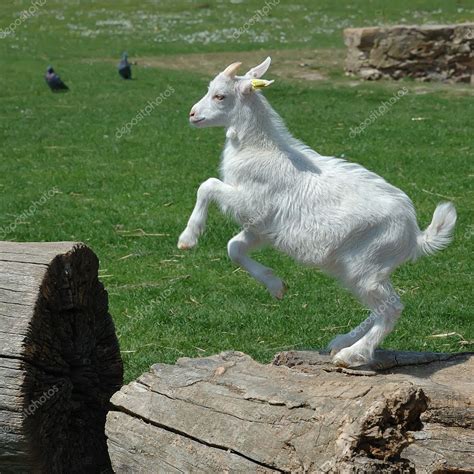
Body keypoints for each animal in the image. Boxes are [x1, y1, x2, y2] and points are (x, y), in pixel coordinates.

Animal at [177, 56, 456, 366]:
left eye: (220, 96)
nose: (192, 114)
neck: (260, 149)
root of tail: (416, 236)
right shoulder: (261, 227)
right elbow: (234, 248)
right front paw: (276, 286)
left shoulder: (251, 202)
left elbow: (207, 186)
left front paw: (187, 238)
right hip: (360, 269)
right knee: (381, 306)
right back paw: (341, 342)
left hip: (366, 265)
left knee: (391, 307)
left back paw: (351, 354)